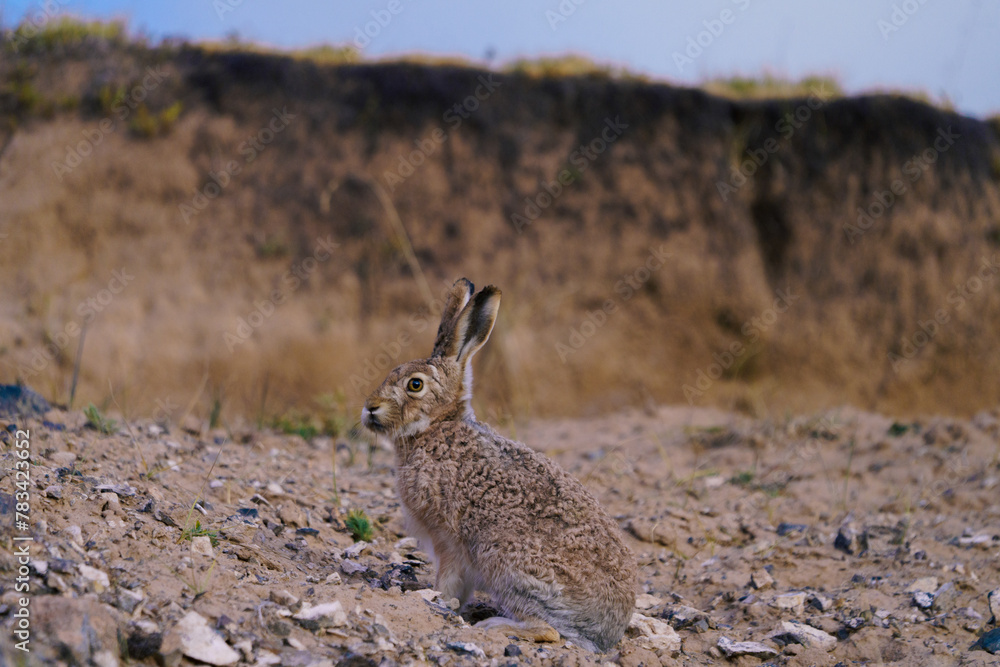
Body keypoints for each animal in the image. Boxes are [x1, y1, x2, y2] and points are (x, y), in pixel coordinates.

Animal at [361, 278, 637, 652]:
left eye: (414, 384)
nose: (369, 408)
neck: (437, 426)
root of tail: (607, 632)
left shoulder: (448, 538)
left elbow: (450, 580)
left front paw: (434, 598)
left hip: (506, 563)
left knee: (549, 630)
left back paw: (495, 625)